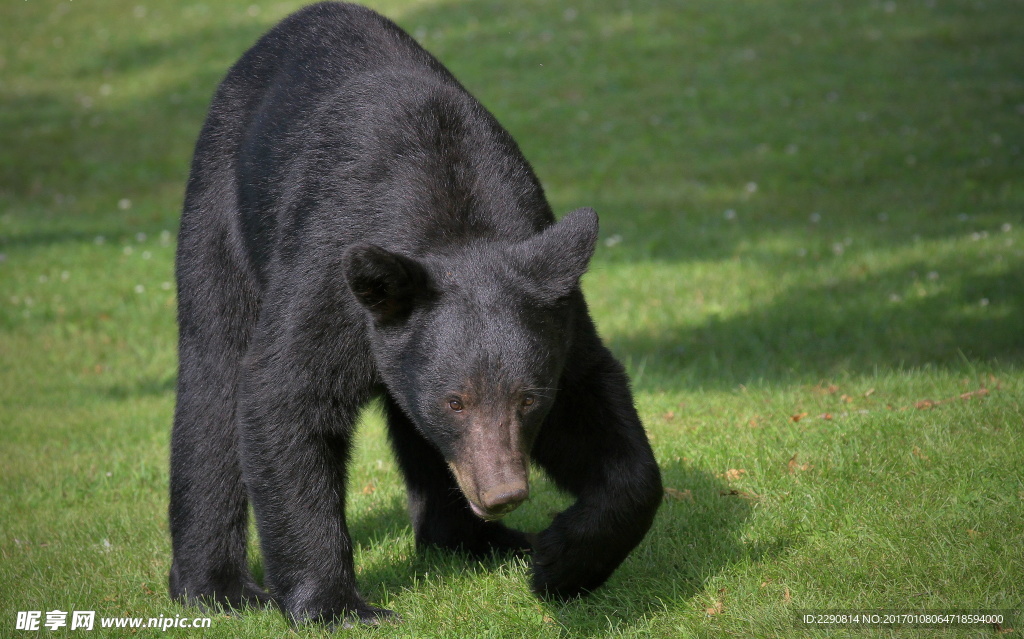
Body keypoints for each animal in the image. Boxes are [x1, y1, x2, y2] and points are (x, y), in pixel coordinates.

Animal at [169, 1, 662, 628]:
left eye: (529, 398)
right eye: (456, 401)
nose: (503, 494)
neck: (448, 213)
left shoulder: (553, 297)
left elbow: (596, 409)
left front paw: (563, 559)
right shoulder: (327, 276)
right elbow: (285, 394)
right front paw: (336, 605)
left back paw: (475, 543)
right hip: (220, 210)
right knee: (213, 376)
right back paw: (216, 587)